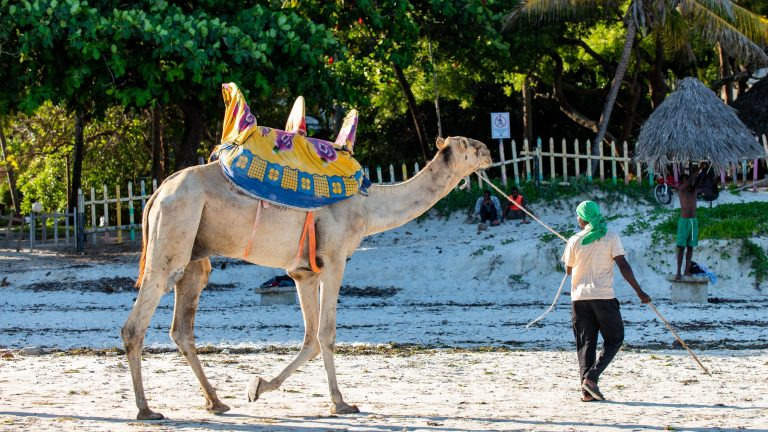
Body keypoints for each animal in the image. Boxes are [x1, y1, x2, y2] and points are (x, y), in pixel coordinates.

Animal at [121, 135, 492, 420]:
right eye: (469, 145)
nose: (488, 150)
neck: (368, 207)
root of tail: (156, 195)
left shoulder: (303, 272)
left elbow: (310, 338)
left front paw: (258, 387)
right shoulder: (334, 259)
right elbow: (326, 333)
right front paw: (341, 404)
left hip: (195, 254)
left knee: (182, 327)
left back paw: (216, 402)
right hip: (172, 235)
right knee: (137, 323)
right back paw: (146, 410)